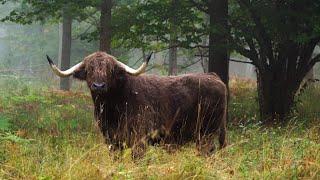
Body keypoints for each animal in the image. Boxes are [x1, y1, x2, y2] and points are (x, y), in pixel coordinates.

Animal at [47, 51, 228, 157]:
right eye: (89, 69)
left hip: (206, 133)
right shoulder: (112, 141)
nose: (99, 86)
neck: (113, 109)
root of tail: (215, 77)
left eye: (110, 70)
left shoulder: (139, 139)